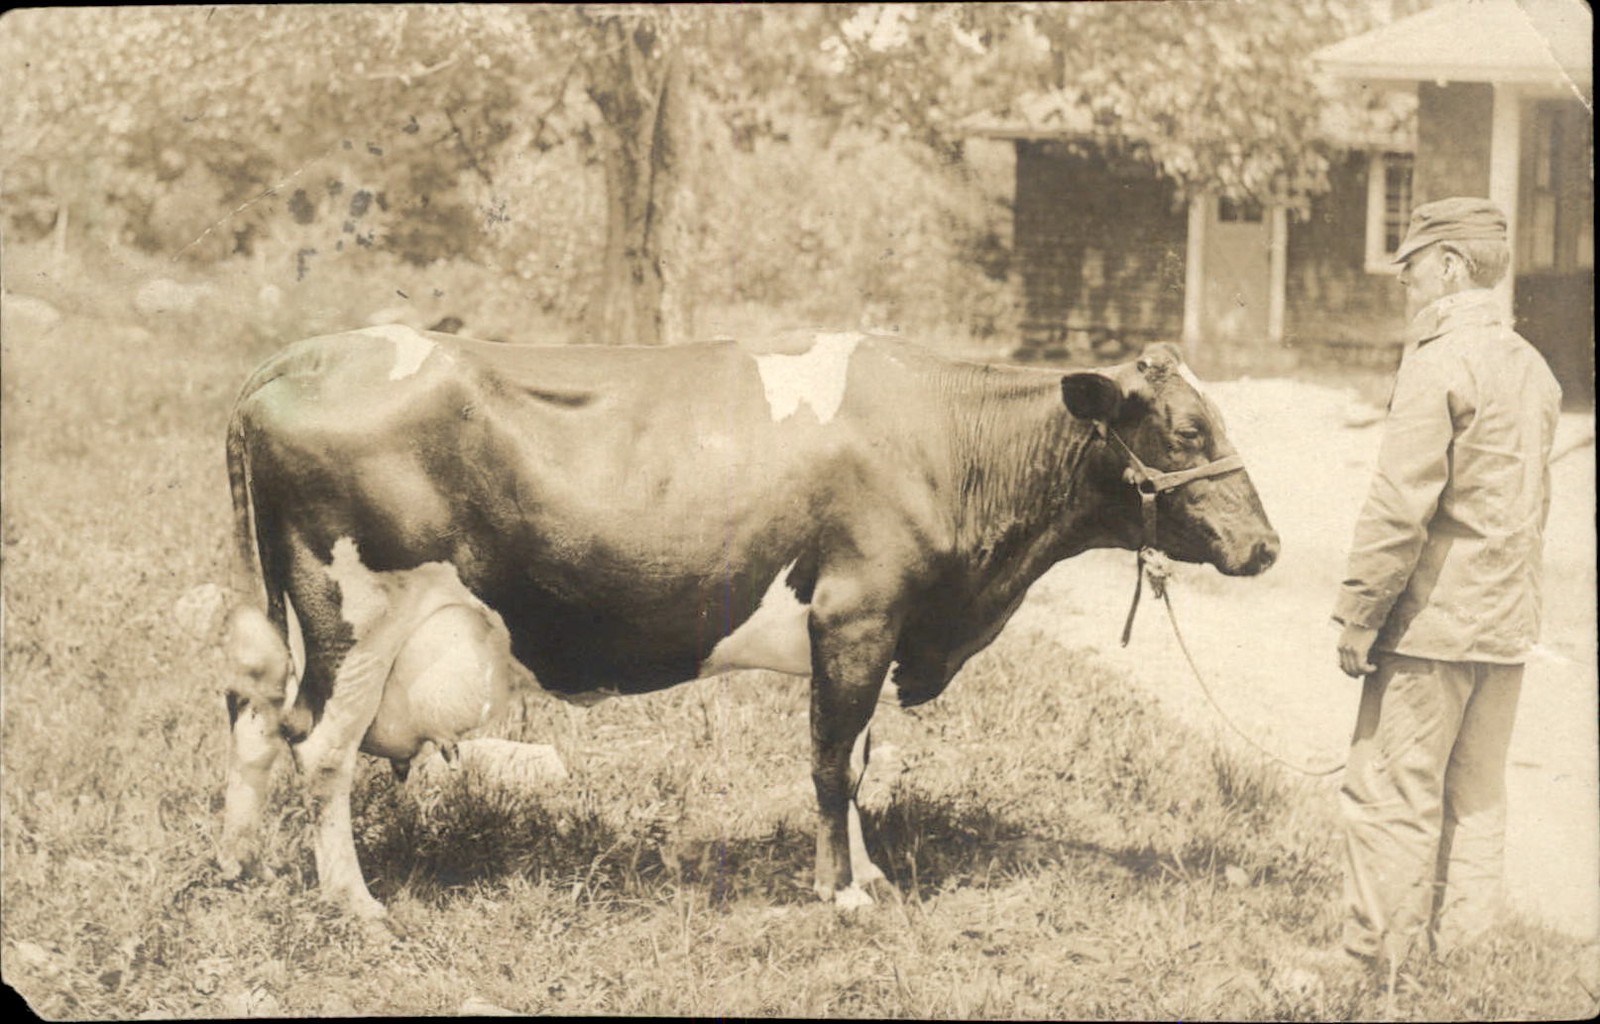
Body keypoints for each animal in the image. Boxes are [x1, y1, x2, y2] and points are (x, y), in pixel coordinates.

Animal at [218, 325, 1278, 929]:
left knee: (254, 715)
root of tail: (309, 351)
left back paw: (239, 863)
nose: (1267, 546)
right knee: (319, 750)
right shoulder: (858, 614)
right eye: (1187, 431)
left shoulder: (873, 630)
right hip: (359, 614)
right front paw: (840, 894)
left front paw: (871, 876)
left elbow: (858, 759)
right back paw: (357, 905)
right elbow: (830, 759)